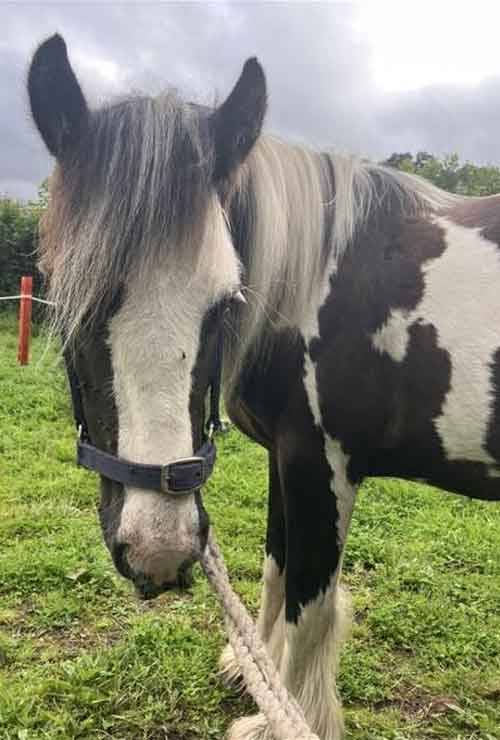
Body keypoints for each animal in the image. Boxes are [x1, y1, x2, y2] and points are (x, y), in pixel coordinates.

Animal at [27, 33, 500, 740]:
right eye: (66, 297)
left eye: (225, 302)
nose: (158, 550)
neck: (314, 285)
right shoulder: (286, 457)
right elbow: (276, 575)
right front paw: (254, 677)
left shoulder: (321, 466)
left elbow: (310, 606)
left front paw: (286, 717)